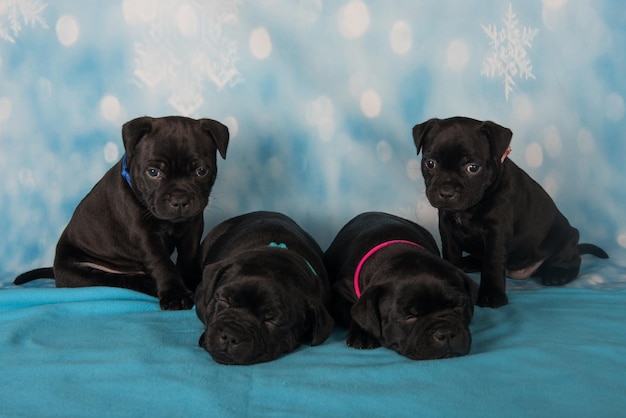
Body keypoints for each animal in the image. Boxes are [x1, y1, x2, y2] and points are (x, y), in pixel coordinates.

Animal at [14, 115, 228, 310]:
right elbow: (161, 263)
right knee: (120, 281)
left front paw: (191, 280)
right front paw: (176, 293)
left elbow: (188, 255)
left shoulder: (193, 226)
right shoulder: (146, 235)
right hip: (83, 274)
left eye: (201, 171)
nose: (179, 200)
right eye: (153, 172)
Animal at [324, 212, 476, 360]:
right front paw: (364, 334)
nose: (445, 333)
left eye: (459, 305)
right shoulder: (341, 293)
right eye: (409, 317)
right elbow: (353, 313)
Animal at [412, 116, 608, 308]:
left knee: (573, 260)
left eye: (473, 168)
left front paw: (492, 294)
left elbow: (492, 262)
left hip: (564, 239)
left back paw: (558, 274)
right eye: (430, 163)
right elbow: (451, 255)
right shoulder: (447, 228)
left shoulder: (496, 233)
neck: (469, 208)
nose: (446, 192)